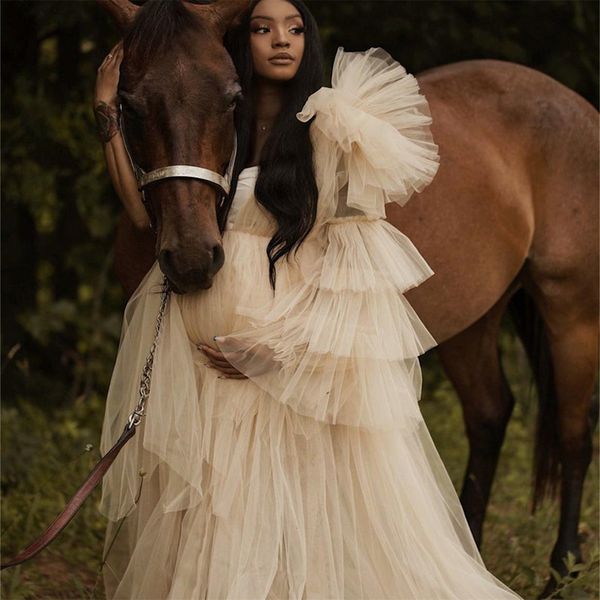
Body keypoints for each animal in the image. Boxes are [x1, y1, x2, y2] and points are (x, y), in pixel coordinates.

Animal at [99, 2, 600, 596]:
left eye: (231, 98)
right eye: (129, 104)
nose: (194, 257)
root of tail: (574, 104)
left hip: (571, 312)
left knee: (573, 431)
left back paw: (561, 571)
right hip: (473, 321)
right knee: (490, 413)